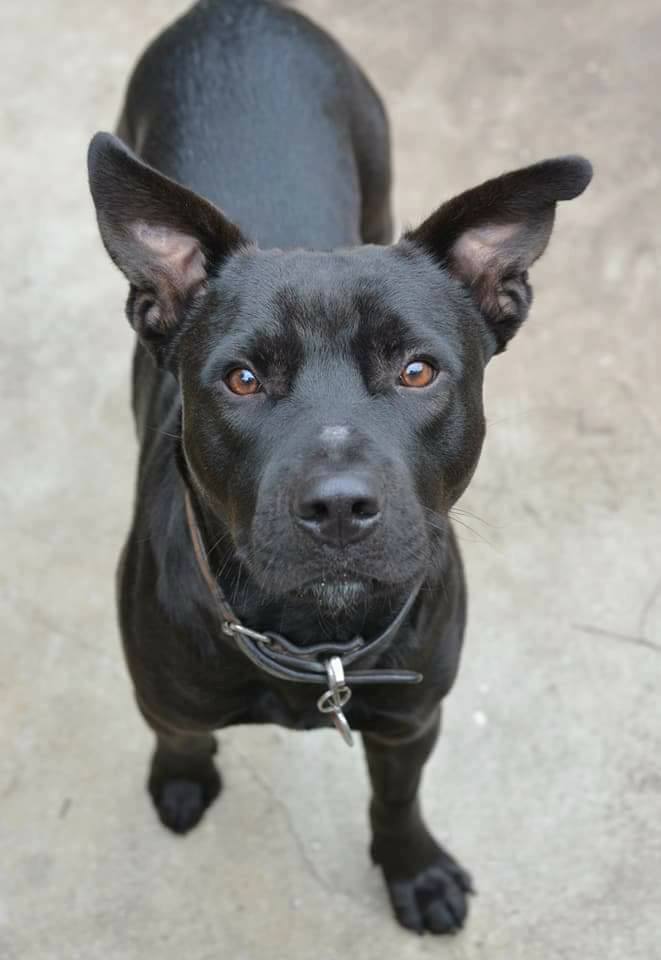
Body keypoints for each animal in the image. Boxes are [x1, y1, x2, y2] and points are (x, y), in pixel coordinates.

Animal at [87, 0, 592, 935]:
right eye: (242, 379)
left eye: (418, 372)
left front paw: (412, 868)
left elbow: (395, 798)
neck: (313, 638)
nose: (337, 508)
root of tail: (238, 11)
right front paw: (181, 776)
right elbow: (179, 731)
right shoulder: (164, 694)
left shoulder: (410, 719)